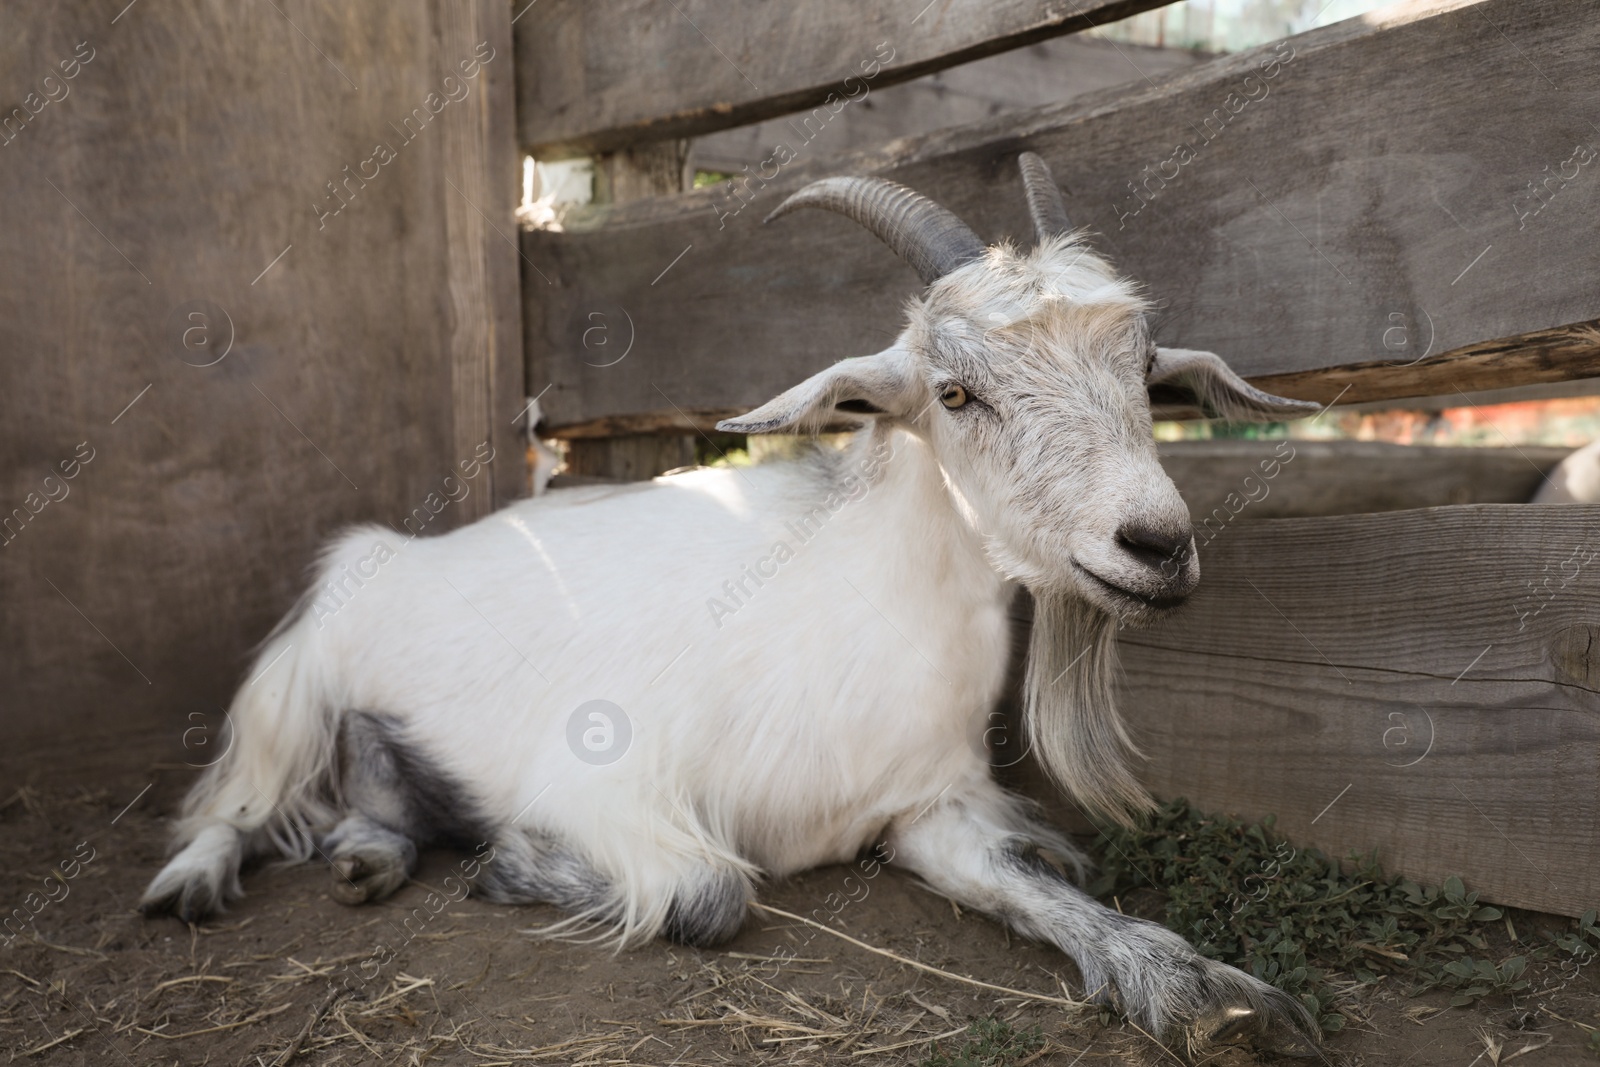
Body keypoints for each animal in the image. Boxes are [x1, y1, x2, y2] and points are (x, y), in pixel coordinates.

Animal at [144, 154, 1324, 1055]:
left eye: (1145, 365)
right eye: (955, 392)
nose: (1156, 543)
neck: (856, 614)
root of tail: (389, 549)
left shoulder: (927, 808)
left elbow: (1044, 888)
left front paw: (1206, 990)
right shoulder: (603, 781)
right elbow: (709, 893)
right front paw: (512, 861)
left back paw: (370, 850)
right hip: (292, 682)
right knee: (236, 801)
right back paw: (193, 881)